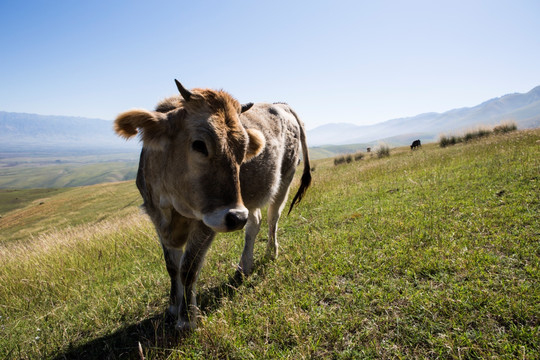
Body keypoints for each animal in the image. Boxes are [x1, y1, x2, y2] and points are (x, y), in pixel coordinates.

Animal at [113, 80, 312, 330]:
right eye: (199, 145)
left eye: (242, 152)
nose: (236, 217)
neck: (172, 204)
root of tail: (280, 104)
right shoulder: (156, 218)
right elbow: (172, 267)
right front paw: (172, 307)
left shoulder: (206, 222)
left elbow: (188, 269)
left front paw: (187, 319)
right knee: (254, 223)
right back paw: (243, 267)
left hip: (284, 179)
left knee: (271, 219)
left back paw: (270, 253)